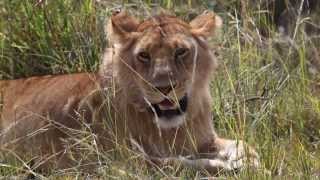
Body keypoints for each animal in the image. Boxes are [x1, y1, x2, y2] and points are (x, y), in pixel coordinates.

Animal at [0, 10, 258, 174]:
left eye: (181, 52)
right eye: (144, 55)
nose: (164, 87)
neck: (169, 130)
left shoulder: (203, 139)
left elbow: (244, 145)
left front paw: (247, 160)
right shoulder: (118, 162)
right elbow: (180, 164)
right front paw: (229, 167)